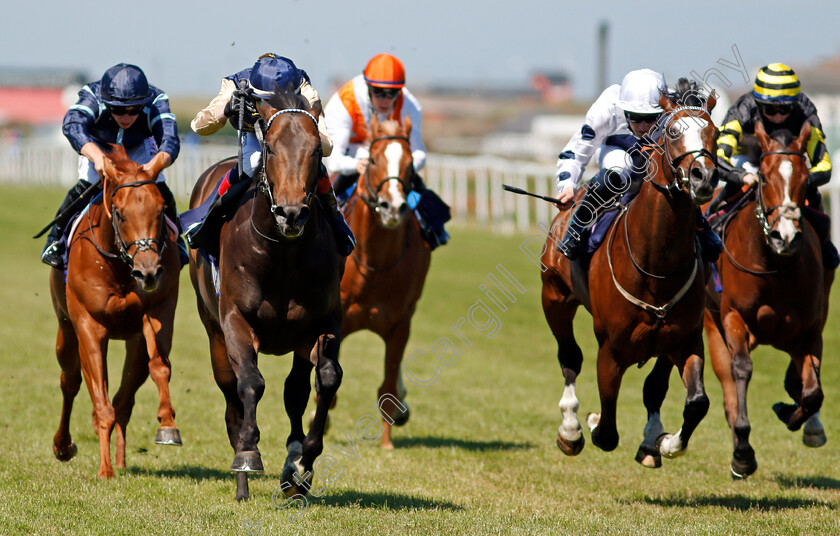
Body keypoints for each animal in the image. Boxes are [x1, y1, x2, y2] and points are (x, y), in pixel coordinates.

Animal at [49, 146, 180, 478]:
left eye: (161, 210)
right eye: (120, 213)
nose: (148, 272)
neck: (119, 268)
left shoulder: (157, 312)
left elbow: (160, 366)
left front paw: (168, 425)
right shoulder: (89, 326)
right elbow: (100, 403)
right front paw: (104, 471)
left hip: (133, 343)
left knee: (124, 399)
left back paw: (120, 460)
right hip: (66, 331)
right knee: (70, 382)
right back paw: (64, 446)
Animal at [190, 90, 344, 500]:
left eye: (316, 150)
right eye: (271, 148)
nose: (292, 214)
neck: (283, 254)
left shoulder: (321, 323)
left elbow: (325, 380)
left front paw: (302, 463)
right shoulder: (234, 320)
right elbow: (251, 383)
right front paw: (248, 453)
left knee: (295, 390)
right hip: (212, 332)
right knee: (232, 398)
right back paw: (242, 480)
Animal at [332, 115, 430, 450]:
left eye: (410, 163)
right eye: (373, 159)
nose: (393, 207)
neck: (374, 264)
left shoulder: (400, 324)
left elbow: (388, 386)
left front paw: (387, 443)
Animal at [540, 93, 720, 468]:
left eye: (716, 132)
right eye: (673, 131)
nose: (703, 177)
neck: (657, 265)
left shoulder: (683, 340)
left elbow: (691, 400)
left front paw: (662, 442)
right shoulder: (611, 349)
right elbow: (607, 428)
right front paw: (590, 423)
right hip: (555, 298)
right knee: (570, 356)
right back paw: (570, 429)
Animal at [704, 119, 832, 480]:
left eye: (804, 177)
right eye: (762, 176)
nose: (784, 236)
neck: (775, 267)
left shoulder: (811, 329)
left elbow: (813, 392)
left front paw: (789, 411)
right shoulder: (733, 317)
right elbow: (741, 369)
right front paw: (743, 453)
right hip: (712, 324)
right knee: (728, 386)